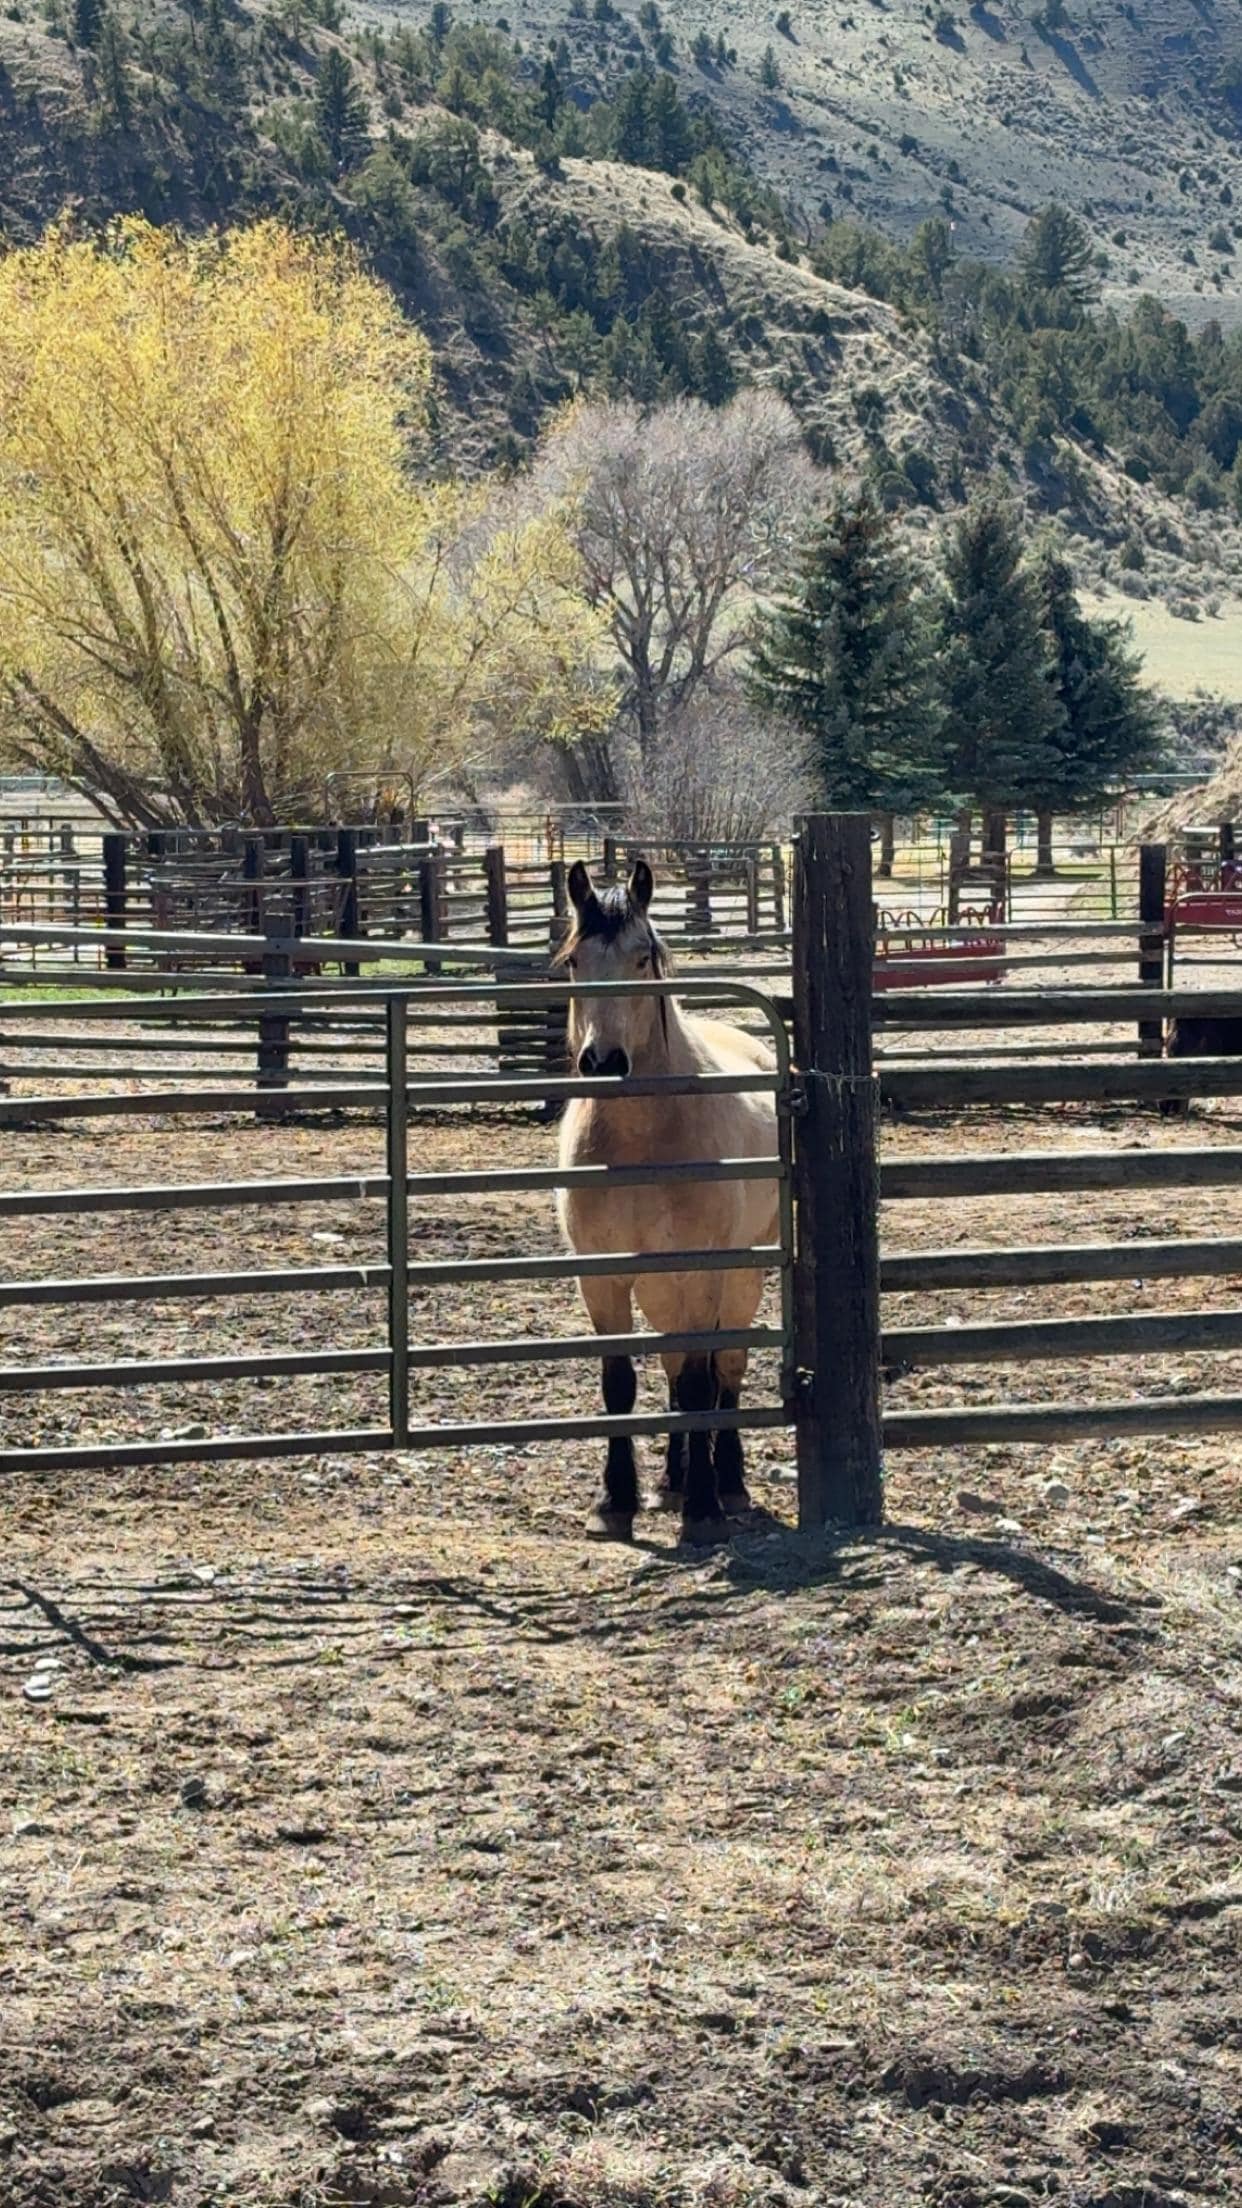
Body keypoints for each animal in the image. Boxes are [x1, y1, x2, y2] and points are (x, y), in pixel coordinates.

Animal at [557, 857, 780, 1545]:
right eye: (575, 961)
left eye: (641, 957)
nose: (603, 1061)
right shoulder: (603, 1276)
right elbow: (622, 1384)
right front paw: (615, 1500)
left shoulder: (700, 1271)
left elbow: (702, 1381)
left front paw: (704, 1507)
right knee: (674, 1365)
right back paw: (672, 1480)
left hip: (743, 1272)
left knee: (723, 1367)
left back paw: (724, 1483)